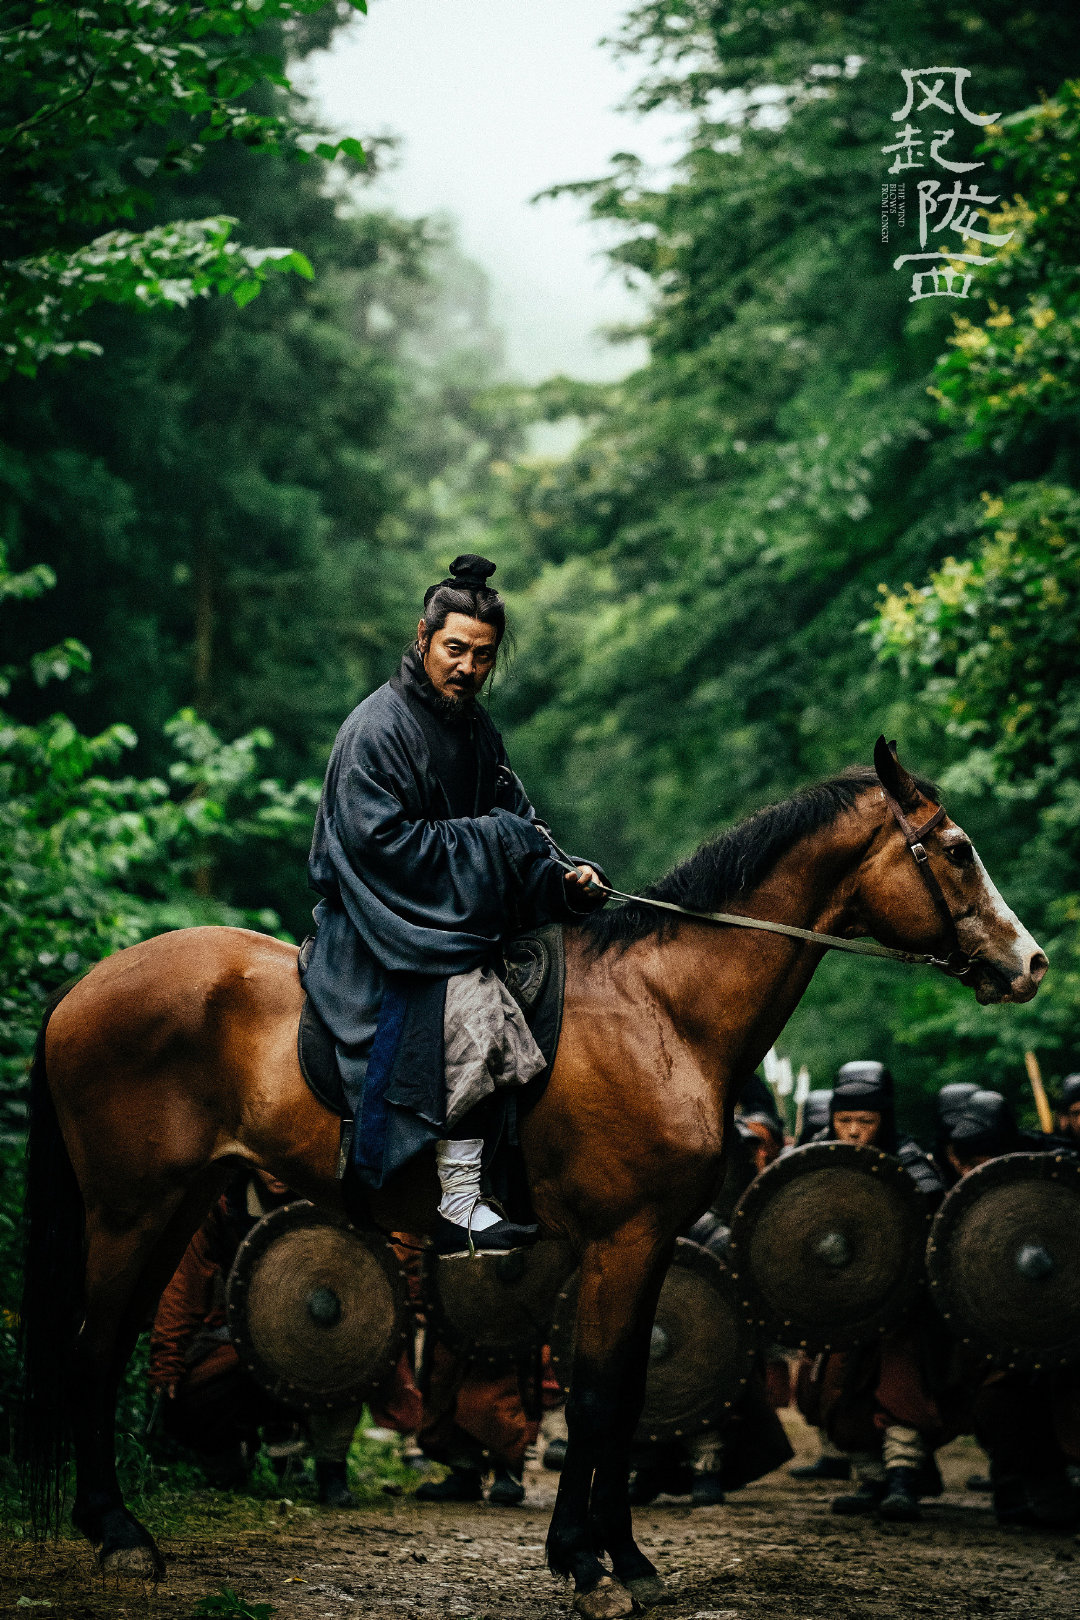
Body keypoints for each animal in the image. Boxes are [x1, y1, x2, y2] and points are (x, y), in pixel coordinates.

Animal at [16, 741, 1049, 1613]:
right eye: (957, 850)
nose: (1031, 963)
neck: (664, 1010)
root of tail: (80, 989)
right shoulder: (622, 1241)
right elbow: (594, 1398)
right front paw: (590, 1565)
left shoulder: (645, 1246)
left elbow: (623, 1397)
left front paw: (614, 1555)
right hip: (130, 1210)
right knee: (94, 1352)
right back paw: (118, 1536)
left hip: (174, 1207)